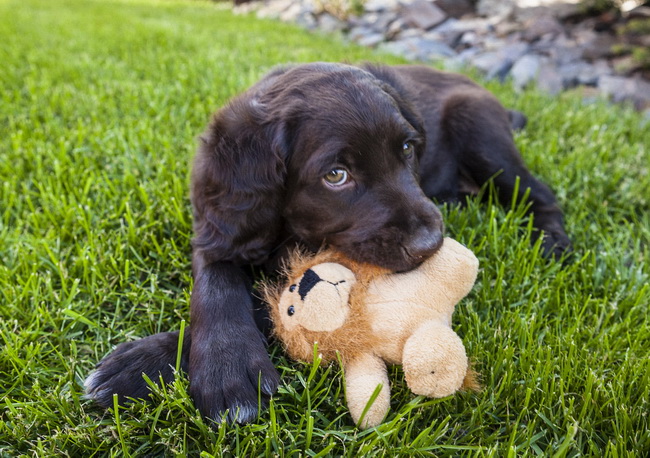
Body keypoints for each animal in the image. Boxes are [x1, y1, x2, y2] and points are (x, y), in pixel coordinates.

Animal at [85, 62, 568, 424]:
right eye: (336, 175)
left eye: (408, 148)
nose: (431, 243)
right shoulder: (218, 226)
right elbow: (216, 287)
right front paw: (220, 362)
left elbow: (275, 305)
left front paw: (148, 364)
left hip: (480, 130)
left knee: (540, 193)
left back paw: (552, 242)